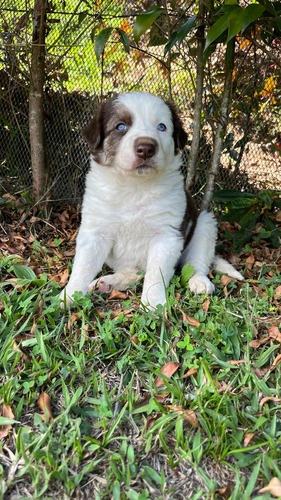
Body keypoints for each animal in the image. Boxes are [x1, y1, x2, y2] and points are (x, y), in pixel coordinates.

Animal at [59, 91, 243, 306]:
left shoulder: (166, 236)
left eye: (161, 127)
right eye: (120, 126)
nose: (146, 148)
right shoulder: (95, 232)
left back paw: (200, 282)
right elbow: (83, 267)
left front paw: (153, 303)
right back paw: (107, 283)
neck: (135, 186)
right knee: (134, 272)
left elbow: (156, 273)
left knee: (195, 263)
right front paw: (67, 296)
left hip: (205, 224)